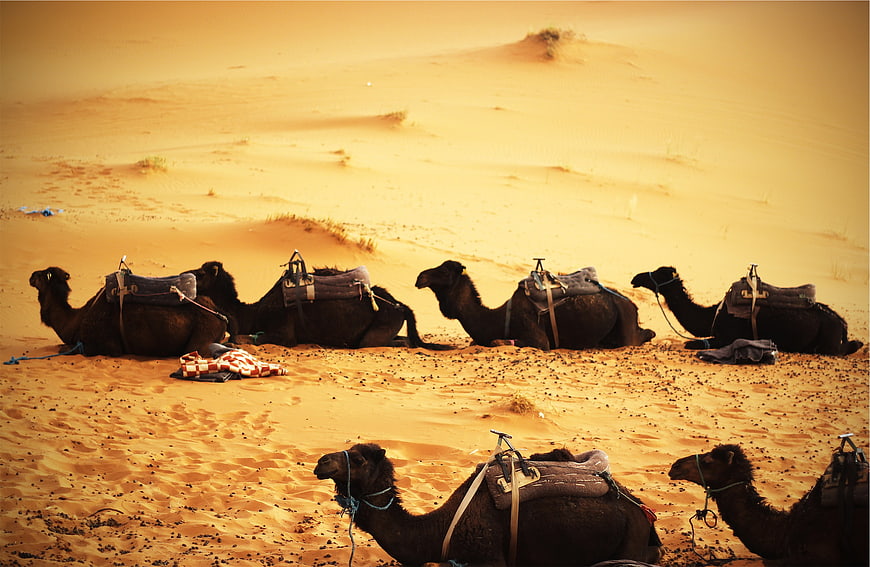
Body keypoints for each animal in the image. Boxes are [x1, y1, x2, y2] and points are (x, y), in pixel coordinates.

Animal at [30, 267, 227, 357]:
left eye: (41, 275)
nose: (31, 276)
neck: (76, 320)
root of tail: (219, 314)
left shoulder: (106, 347)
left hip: (201, 338)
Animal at [188, 261, 450, 349]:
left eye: (200, 274)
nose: (185, 275)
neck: (254, 312)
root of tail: (400, 305)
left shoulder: (284, 334)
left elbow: (254, 338)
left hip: (379, 328)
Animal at [415, 260, 654, 350]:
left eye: (444, 270)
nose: (420, 277)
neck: (498, 318)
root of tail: (633, 305)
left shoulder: (539, 340)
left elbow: (497, 341)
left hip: (625, 326)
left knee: (641, 336)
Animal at [631, 266, 863, 355]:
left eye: (659, 273)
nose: (636, 277)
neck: (712, 314)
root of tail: (842, 323)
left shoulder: (727, 337)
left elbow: (692, 344)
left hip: (829, 343)